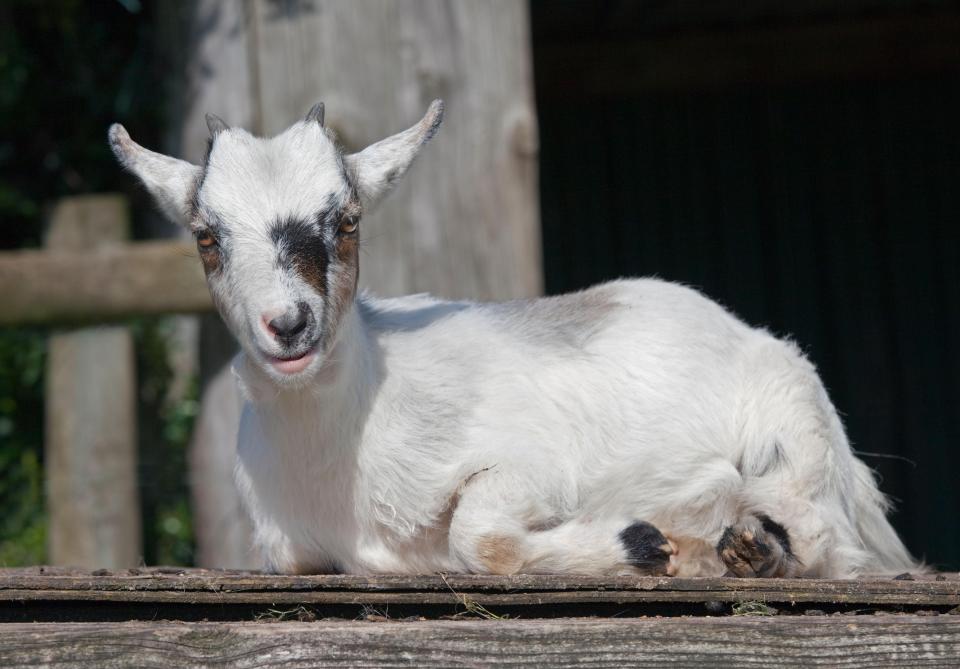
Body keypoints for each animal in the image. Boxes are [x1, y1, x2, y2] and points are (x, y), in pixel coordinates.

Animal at [109, 102, 920, 576]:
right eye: (206, 236)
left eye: (346, 221)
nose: (289, 324)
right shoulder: (287, 548)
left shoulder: (532, 464)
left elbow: (479, 538)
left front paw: (643, 543)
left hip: (791, 437)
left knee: (818, 538)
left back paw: (743, 547)